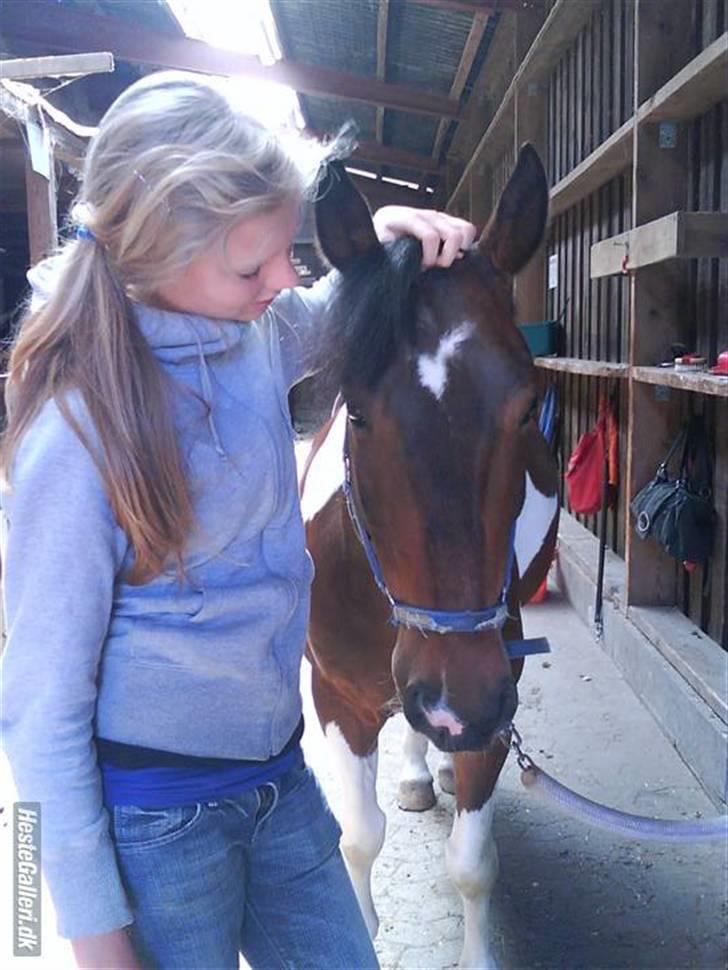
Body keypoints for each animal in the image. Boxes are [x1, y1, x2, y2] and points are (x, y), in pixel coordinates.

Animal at [300, 146, 556, 968]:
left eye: (525, 407)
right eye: (358, 409)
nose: (456, 705)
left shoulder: (495, 687)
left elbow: (473, 864)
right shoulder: (338, 699)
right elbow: (358, 837)